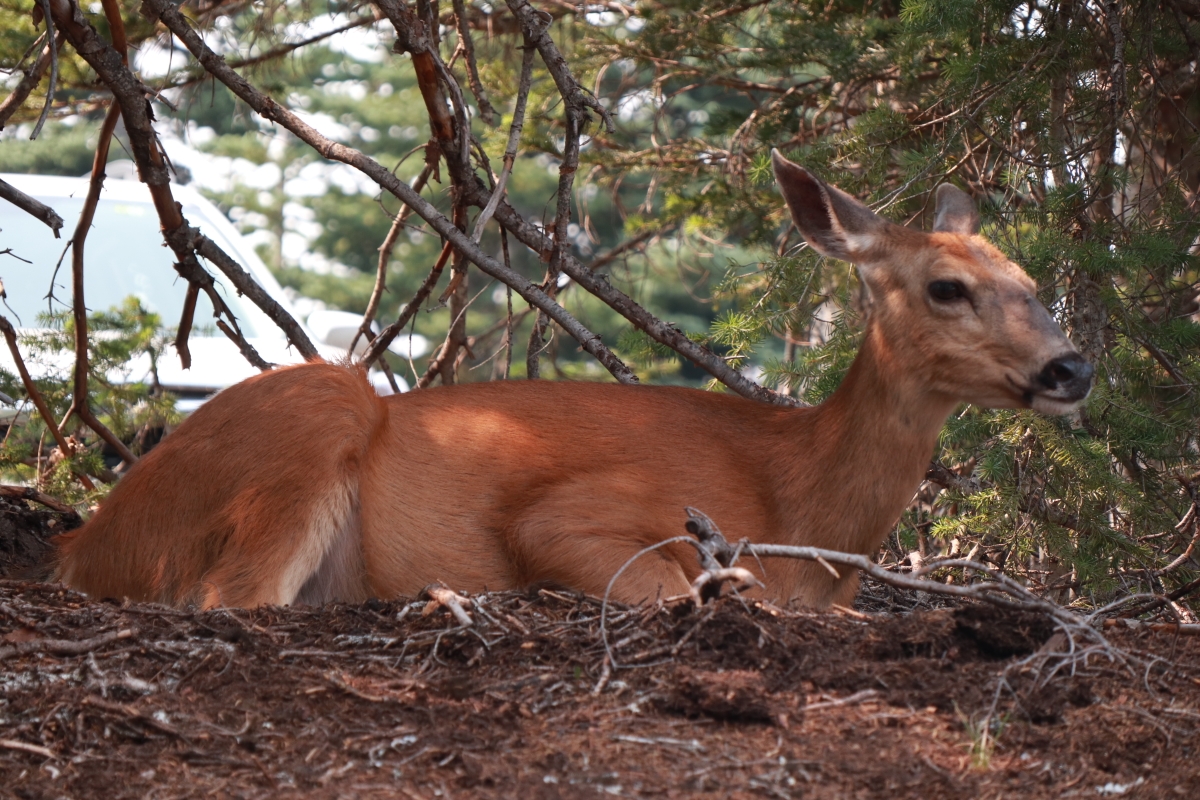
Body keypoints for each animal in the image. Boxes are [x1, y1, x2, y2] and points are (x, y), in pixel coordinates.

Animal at [54, 153, 1089, 609]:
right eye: (947, 286)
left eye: (1031, 281)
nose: (1072, 366)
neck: (802, 503)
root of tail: (85, 543)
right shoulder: (577, 514)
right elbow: (681, 584)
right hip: (317, 411)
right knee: (224, 597)